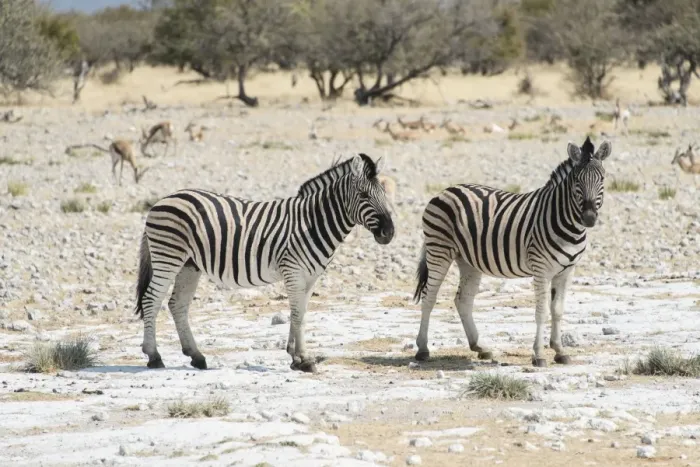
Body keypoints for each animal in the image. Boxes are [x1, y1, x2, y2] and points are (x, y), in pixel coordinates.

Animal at [134, 154, 395, 373]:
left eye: (385, 194)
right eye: (364, 196)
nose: (389, 233)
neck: (313, 222)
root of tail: (163, 200)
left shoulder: (311, 276)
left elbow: (301, 314)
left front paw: (296, 357)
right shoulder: (293, 271)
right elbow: (297, 314)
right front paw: (302, 359)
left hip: (190, 265)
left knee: (177, 304)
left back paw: (196, 356)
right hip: (168, 256)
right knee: (151, 299)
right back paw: (154, 356)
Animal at [412, 137, 611, 367]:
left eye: (602, 179)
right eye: (577, 181)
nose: (589, 218)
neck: (567, 223)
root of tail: (445, 190)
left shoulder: (566, 272)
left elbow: (558, 310)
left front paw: (560, 351)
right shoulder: (541, 269)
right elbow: (542, 311)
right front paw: (539, 355)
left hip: (468, 261)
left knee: (463, 300)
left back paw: (480, 347)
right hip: (439, 250)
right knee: (429, 296)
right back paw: (423, 349)